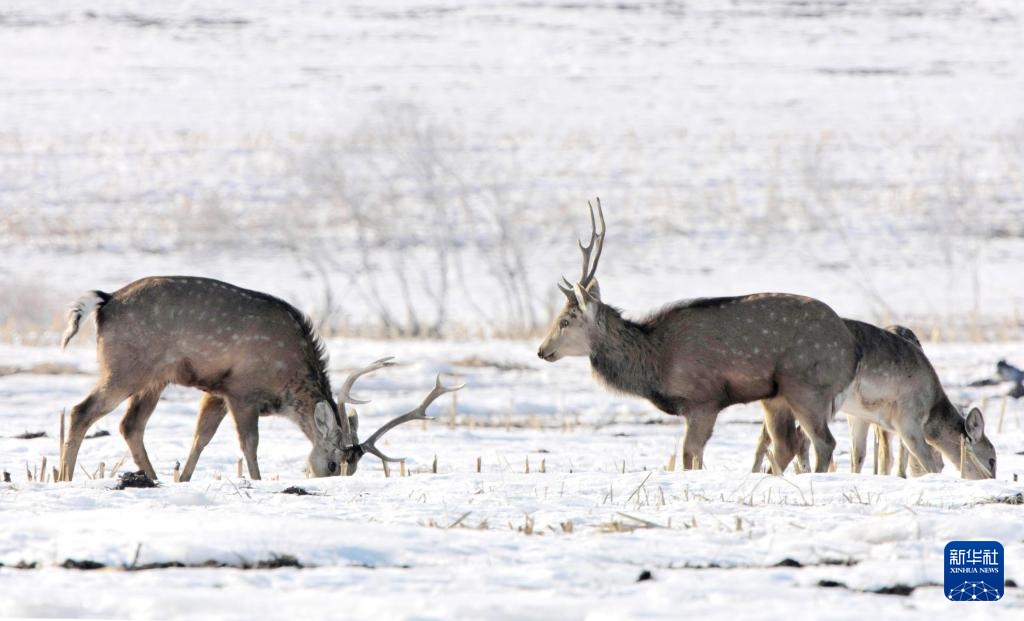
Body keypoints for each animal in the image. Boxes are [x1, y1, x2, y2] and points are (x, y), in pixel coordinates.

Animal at [51, 276, 460, 481]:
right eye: (333, 464)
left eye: (354, 467)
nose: (328, 483)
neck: (286, 381)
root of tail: (103, 301)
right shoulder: (241, 389)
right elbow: (249, 444)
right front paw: (258, 481)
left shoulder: (216, 391)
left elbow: (201, 437)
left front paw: (184, 479)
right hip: (127, 366)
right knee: (81, 410)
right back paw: (64, 477)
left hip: (155, 378)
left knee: (130, 425)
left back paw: (152, 478)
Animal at [536, 199, 864, 471]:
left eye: (565, 320)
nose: (541, 350)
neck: (655, 364)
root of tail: (852, 349)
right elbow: (695, 454)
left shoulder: (702, 398)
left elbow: (688, 453)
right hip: (777, 395)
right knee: (787, 444)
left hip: (808, 384)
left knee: (822, 442)